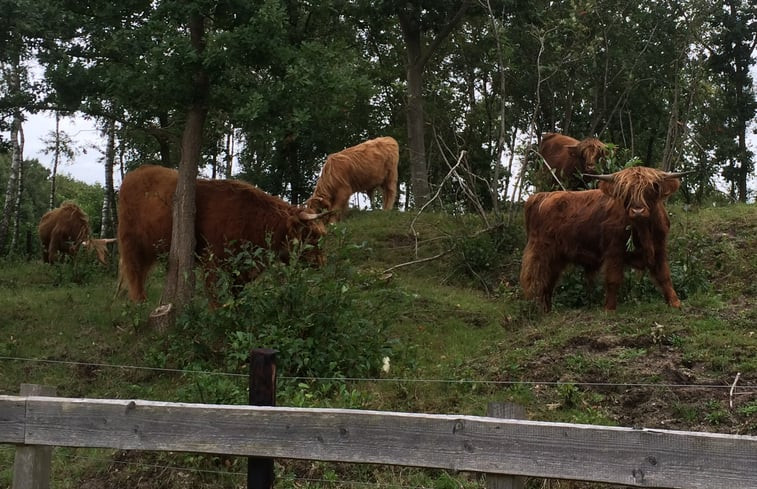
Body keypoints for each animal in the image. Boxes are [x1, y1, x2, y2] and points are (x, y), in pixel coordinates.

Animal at [117, 164, 328, 302]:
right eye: (311, 236)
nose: (321, 262)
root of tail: (136, 172)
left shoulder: (241, 267)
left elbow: (237, 292)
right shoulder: (213, 259)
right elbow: (215, 292)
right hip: (131, 240)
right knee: (134, 271)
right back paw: (140, 302)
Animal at [520, 164, 684, 308]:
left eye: (651, 188)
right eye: (625, 191)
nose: (638, 211)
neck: (643, 229)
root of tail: (541, 196)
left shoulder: (659, 248)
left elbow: (664, 276)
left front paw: (675, 303)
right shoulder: (614, 250)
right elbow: (613, 280)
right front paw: (609, 308)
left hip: (556, 257)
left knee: (548, 282)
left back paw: (546, 310)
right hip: (542, 253)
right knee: (537, 281)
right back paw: (537, 309)